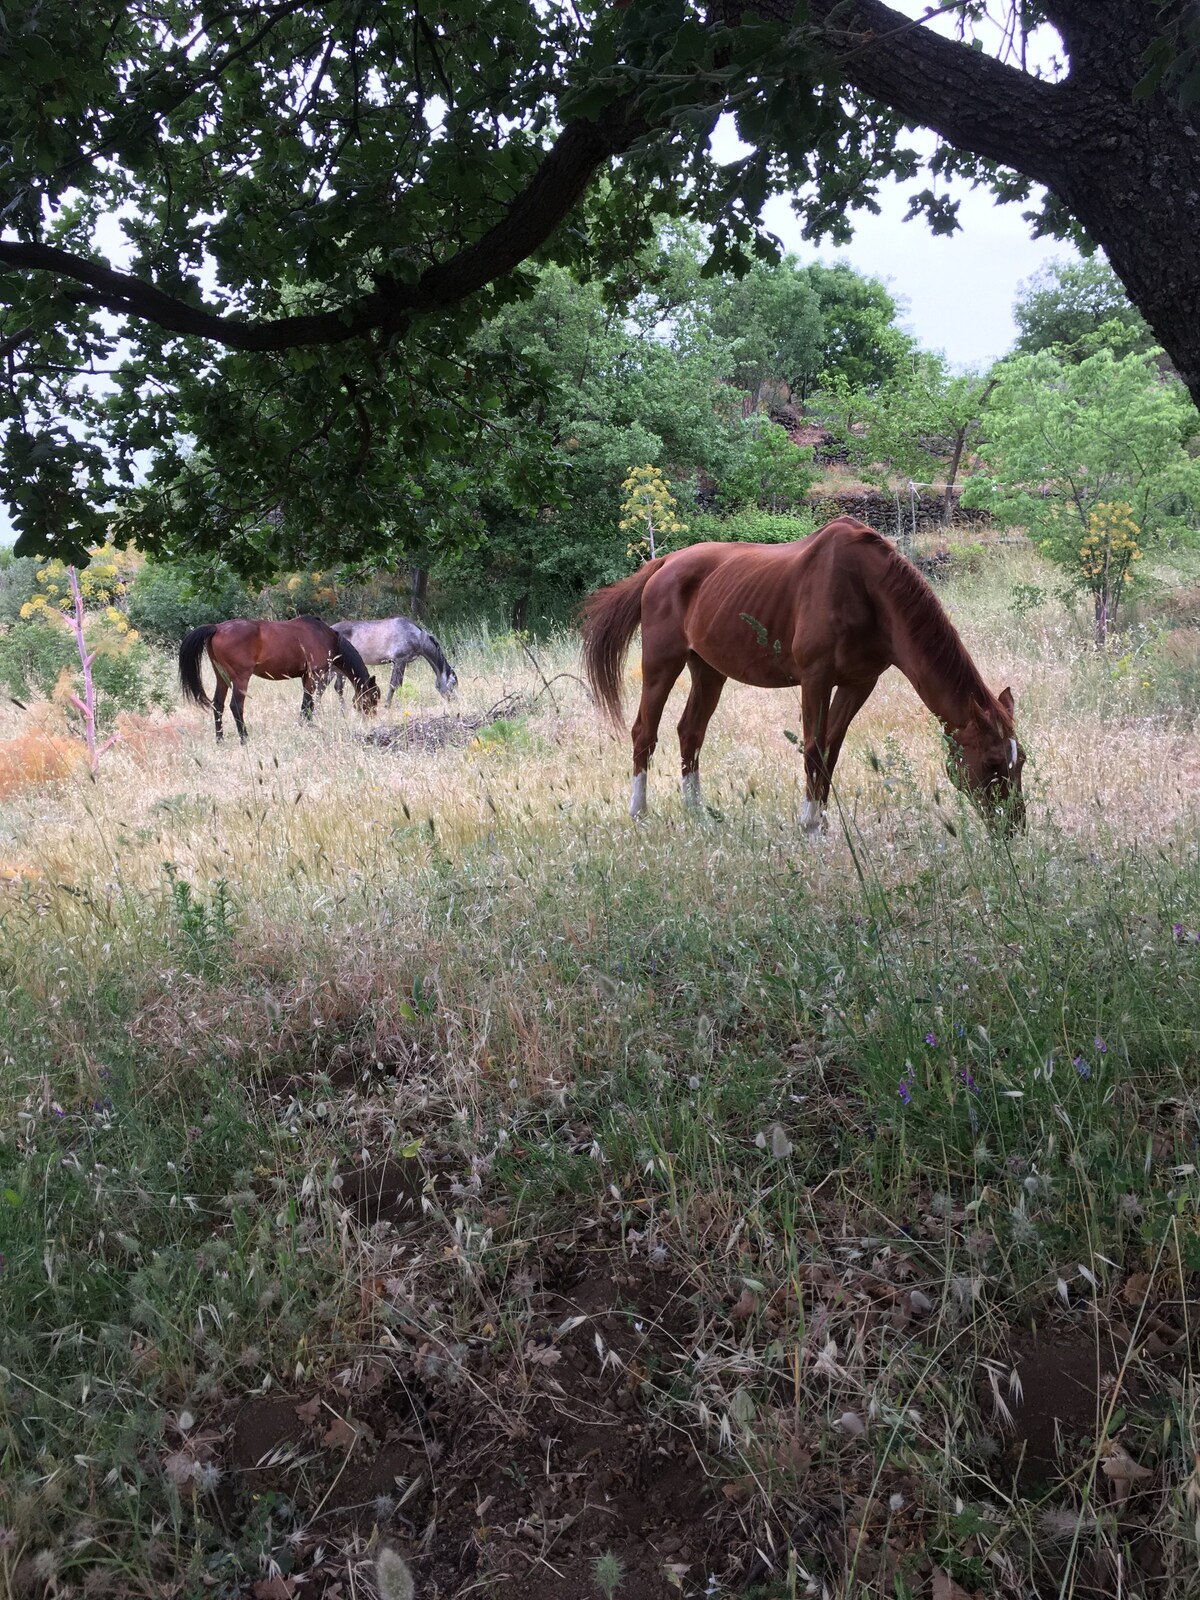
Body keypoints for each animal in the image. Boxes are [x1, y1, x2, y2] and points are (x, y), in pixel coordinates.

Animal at [178, 614, 380, 739]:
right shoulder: (313, 676)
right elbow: (307, 705)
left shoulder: (307, 677)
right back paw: (244, 739)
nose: (371, 719)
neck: (326, 637)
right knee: (236, 706)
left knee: (218, 705)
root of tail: (217, 628)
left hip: (222, 678)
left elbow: (308, 704)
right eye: (373, 698)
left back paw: (220, 740)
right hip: (240, 678)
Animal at [329, 617, 460, 707]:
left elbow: (397, 685)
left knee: (337, 688)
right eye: (453, 683)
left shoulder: (400, 662)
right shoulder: (400, 661)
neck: (416, 636)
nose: (455, 700)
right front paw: (390, 706)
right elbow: (394, 685)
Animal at [579, 518, 1024, 832]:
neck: (867, 590)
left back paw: (698, 813)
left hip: (708, 671)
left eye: (1019, 764)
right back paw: (639, 814)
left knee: (690, 732)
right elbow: (812, 751)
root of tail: (663, 563)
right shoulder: (816, 680)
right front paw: (809, 825)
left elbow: (831, 750)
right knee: (644, 733)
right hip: (662, 664)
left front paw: (823, 823)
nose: (1013, 826)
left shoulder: (858, 683)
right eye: (992, 763)